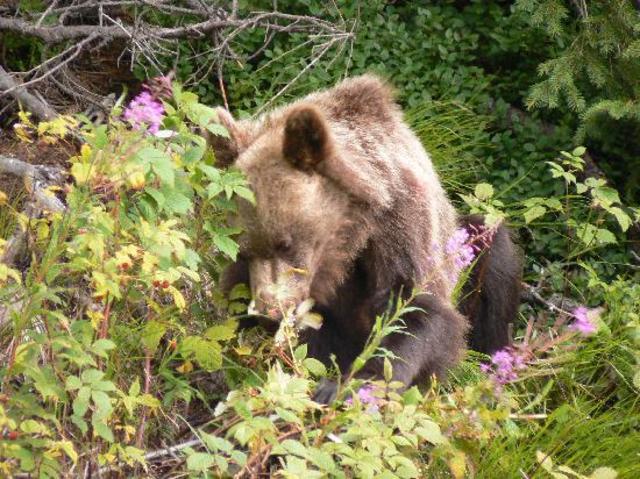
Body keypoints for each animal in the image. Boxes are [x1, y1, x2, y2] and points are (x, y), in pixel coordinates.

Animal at [211, 74, 522, 402]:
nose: (269, 311)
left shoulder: (401, 224)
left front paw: (342, 386)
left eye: (285, 243)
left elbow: (413, 308)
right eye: (243, 250)